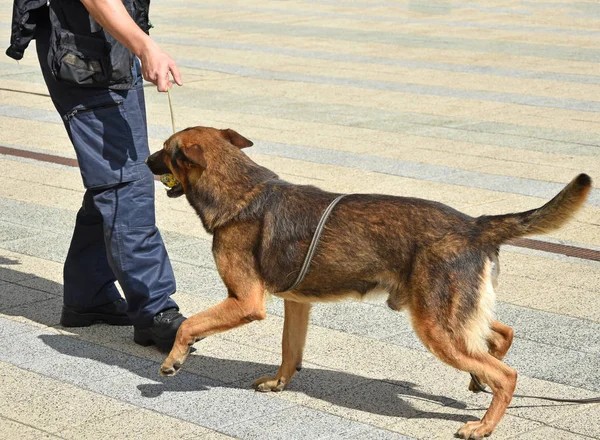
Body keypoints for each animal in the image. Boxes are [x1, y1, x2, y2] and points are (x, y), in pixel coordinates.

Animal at [146, 125, 592, 438]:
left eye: (165, 151)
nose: (144, 160)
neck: (243, 190)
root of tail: (475, 225)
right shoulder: (297, 303)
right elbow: (290, 350)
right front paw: (279, 382)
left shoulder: (244, 302)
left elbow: (189, 325)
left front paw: (173, 360)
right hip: (450, 314)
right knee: (499, 336)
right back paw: (478, 382)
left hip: (435, 325)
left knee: (508, 374)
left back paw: (483, 425)